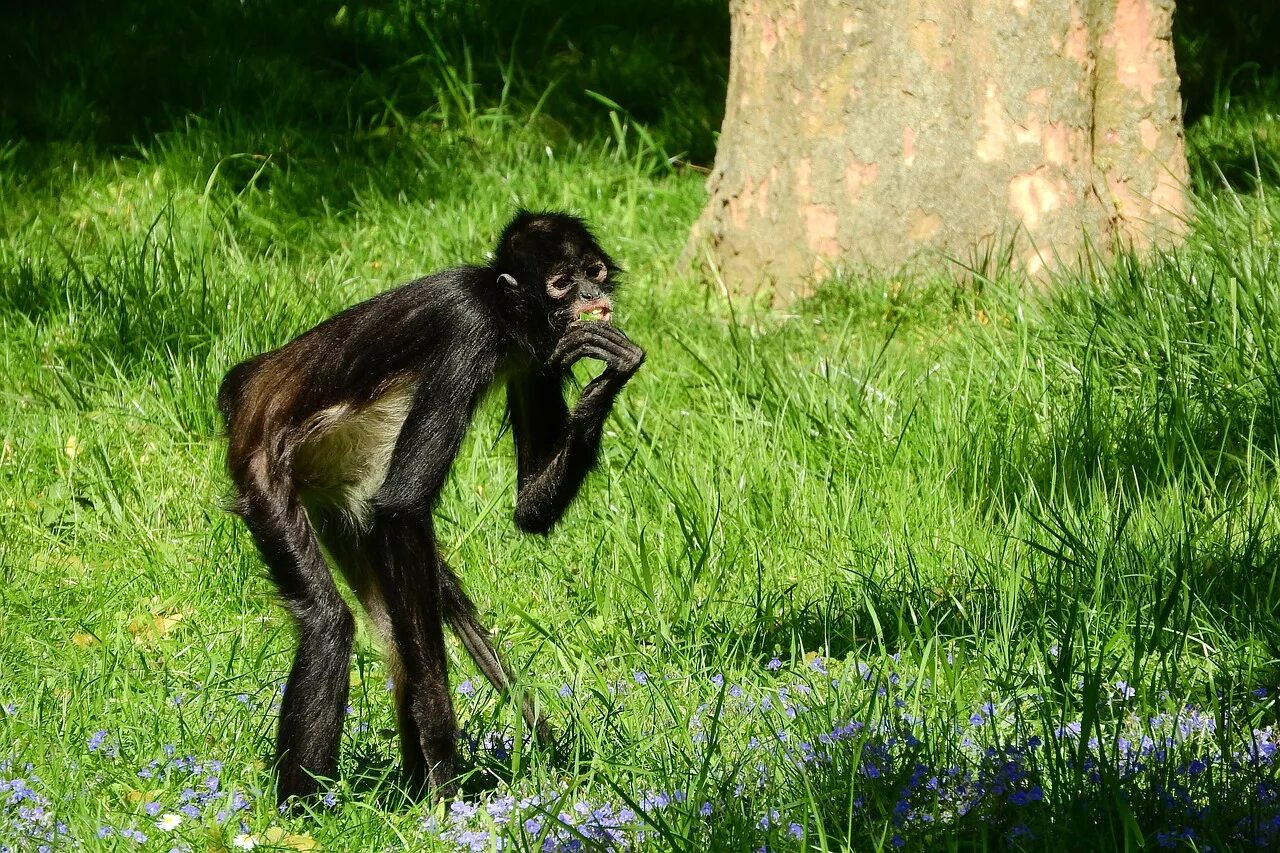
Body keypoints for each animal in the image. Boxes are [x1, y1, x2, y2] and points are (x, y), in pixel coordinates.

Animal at [218, 208, 645, 799]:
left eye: (595, 271)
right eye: (562, 283)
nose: (590, 296)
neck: (502, 311)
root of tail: (249, 385)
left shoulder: (535, 356)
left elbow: (528, 515)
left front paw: (616, 367)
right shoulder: (471, 326)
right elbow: (403, 507)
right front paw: (444, 746)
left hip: (347, 507)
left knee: (408, 629)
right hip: (262, 469)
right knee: (329, 623)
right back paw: (307, 812)